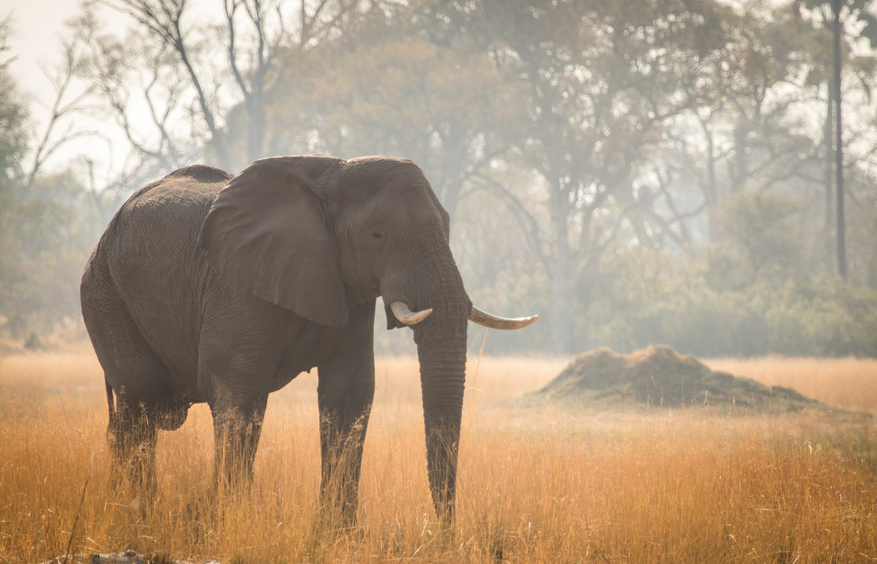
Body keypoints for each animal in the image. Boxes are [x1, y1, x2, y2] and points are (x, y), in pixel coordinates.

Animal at [80, 155, 532, 524]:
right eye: (376, 235)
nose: (442, 534)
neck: (332, 173)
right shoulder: (236, 283)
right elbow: (238, 391)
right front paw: (234, 522)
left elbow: (350, 393)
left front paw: (337, 535)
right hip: (105, 293)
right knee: (139, 404)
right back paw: (138, 514)